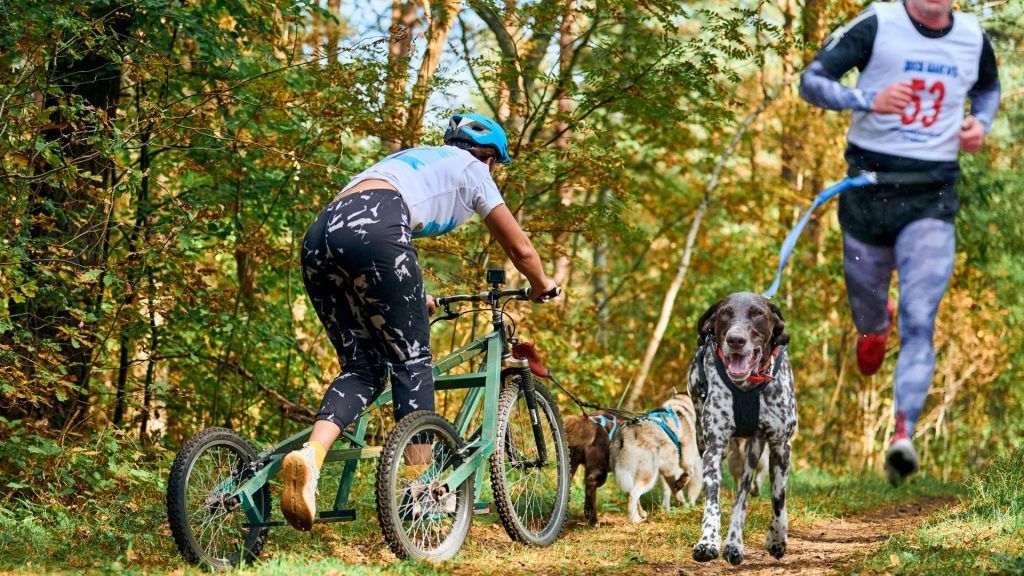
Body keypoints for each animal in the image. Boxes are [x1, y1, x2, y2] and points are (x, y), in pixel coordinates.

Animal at [610, 391, 700, 522]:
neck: (679, 404)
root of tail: (626, 433)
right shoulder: (686, 460)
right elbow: (688, 474)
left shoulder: (668, 470)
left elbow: (672, 491)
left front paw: (677, 506)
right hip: (648, 476)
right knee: (633, 494)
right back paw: (635, 519)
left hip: (626, 473)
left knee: (629, 493)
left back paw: (642, 513)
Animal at [688, 293, 798, 561]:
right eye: (725, 313)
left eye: (757, 313)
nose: (735, 339)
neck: (748, 386)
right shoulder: (714, 448)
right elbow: (713, 503)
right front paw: (708, 541)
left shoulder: (780, 445)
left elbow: (778, 497)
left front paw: (776, 538)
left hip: (753, 452)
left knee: (743, 495)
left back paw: (734, 543)